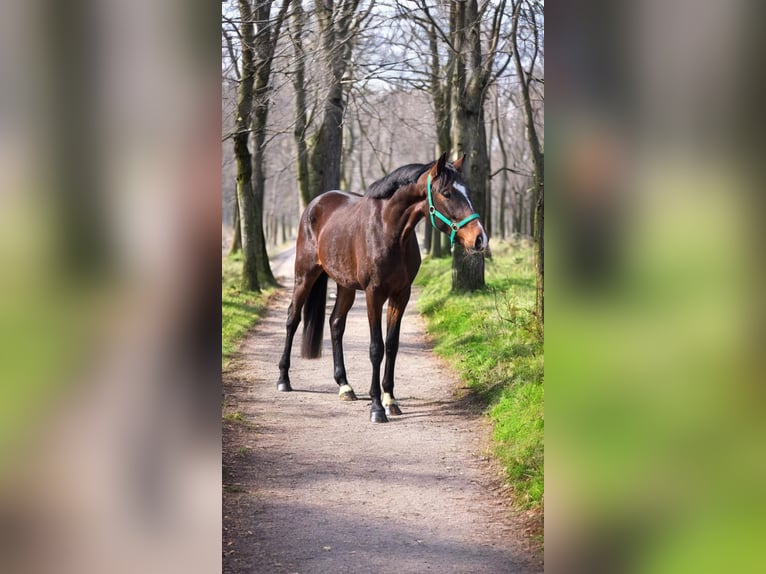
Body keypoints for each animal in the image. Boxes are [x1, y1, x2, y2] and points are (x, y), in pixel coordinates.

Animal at [277, 152, 488, 423]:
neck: (389, 232)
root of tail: (315, 204)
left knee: (335, 324)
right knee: (292, 319)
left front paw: (390, 400)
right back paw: (283, 379)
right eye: (447, 193)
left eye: (468, 191)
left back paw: (344, 385)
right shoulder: (373, 294)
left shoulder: (401, 295)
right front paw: (377, 407)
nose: (480, 239)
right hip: (305, 276)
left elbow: (392, 344)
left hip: (345, 285)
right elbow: (376, 348)